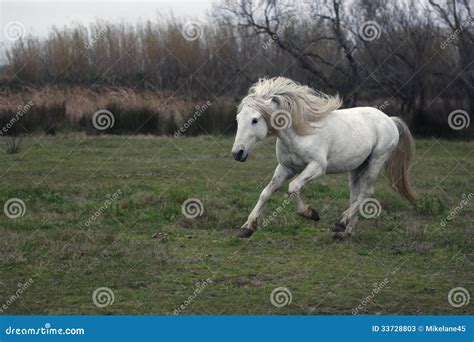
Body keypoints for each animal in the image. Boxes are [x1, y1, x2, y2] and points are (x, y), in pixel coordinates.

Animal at [231, 77, 416, 238]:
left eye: (255, 120)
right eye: (238, 119)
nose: (237, 153)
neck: (301, 132)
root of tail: (390, 119)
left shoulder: (317, 167)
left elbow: (293, 187)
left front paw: (310, 213)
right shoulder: (286, 168)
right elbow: (266, 193)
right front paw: (247, 227)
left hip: (376, 161)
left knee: (367, 192)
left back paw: (341, 222)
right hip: (357, 167)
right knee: (356, 194)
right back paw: (344, 232)